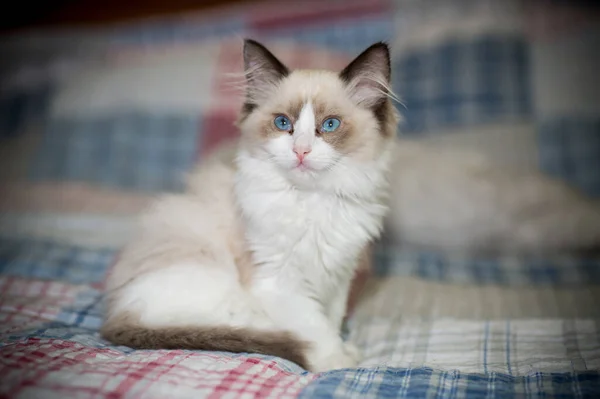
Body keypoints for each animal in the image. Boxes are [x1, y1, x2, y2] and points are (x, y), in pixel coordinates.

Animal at [102, 39, 398, 374]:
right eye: (283, 123)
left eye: (330, 125)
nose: (301, 151)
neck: (311, 201)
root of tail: (116, 313)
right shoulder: (279, 284)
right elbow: (316, 327)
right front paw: (335, 360)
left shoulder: (337, 277)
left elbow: (331, 319)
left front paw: (343, 351)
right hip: (218, 286)